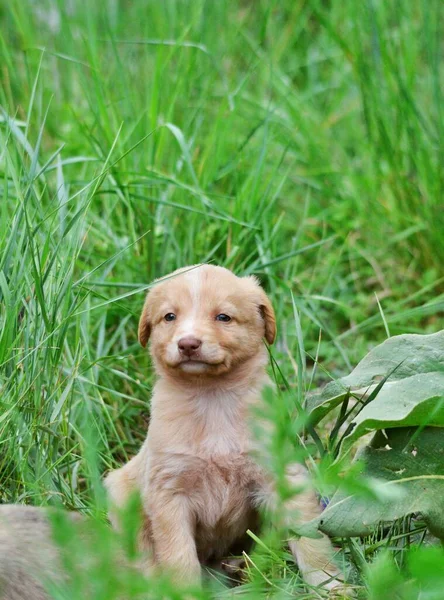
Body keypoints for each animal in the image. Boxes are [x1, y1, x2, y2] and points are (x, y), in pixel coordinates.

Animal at [105, 266, 344, 592]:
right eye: (169, 316)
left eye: (223, 317)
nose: (188, 344)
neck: (211, 398)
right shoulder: (168, 494)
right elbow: (179, 557)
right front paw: (183, 594)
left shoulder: (280, 474)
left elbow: (311, 541)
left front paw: (332, 586)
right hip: (121, 496)